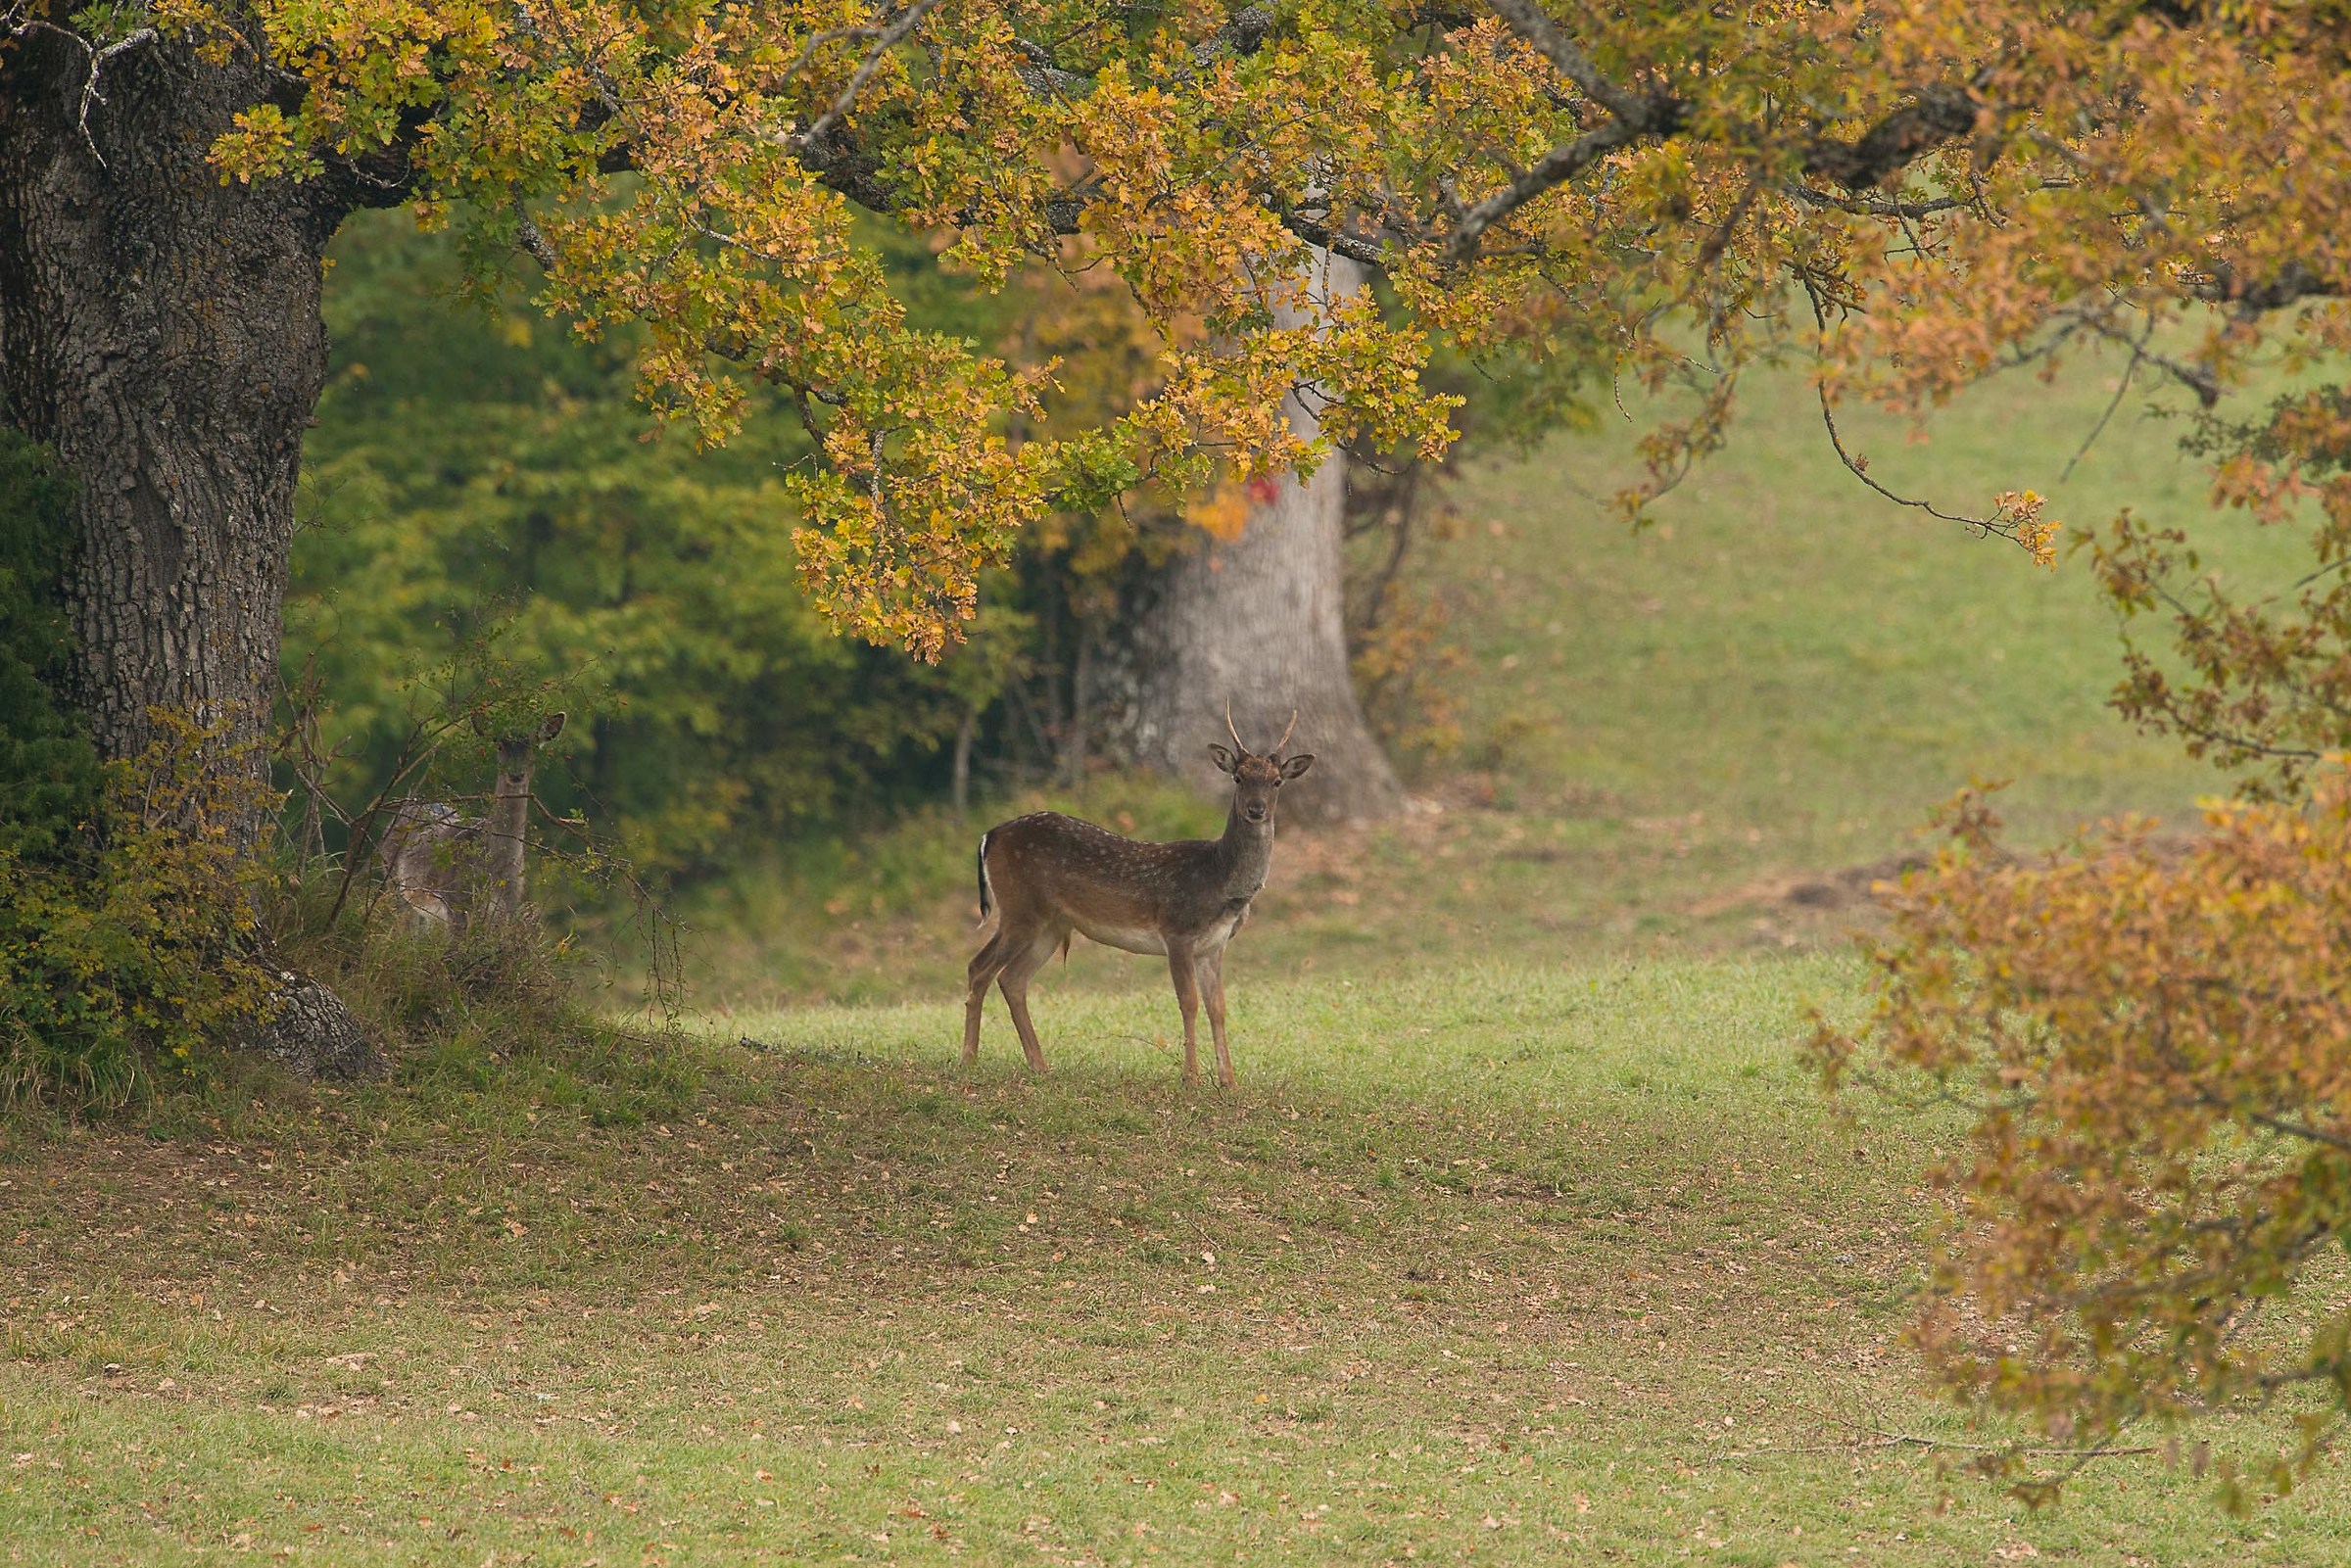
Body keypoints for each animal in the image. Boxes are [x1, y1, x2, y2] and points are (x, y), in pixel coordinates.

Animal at [963, 702, 1313, 1089]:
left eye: (1276, 781)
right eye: (1238, 778)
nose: (1255, 809)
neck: (1221, 882)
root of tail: (989, 836)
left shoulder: (1214, 945)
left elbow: (1218, 1007)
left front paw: (1229, 1081)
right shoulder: (1177, 931)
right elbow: (1189, 1002)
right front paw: (1191, 1078)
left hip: (1050, 926)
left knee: (1012, 979)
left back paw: (1039, 1065)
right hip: (1019, 910)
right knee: (979, 967)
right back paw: (969, 1059)